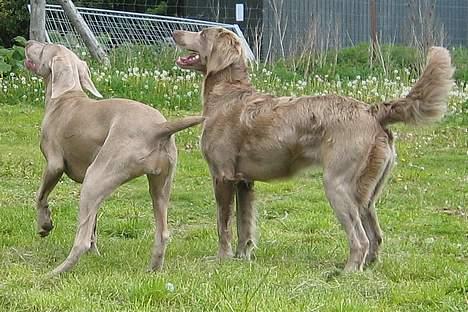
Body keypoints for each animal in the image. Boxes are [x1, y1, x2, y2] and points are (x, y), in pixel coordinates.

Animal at [24, 40, 203, 274]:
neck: (65, 98)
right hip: (160, 184)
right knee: (162, 233)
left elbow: (40, 196)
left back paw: (56, 272)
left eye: (45, 47)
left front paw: (44, 225)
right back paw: (153, 270)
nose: (28, 42)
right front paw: (95, 252)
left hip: (95, 177)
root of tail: (158, 128)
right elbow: (94, 223)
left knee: (80, 241)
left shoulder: (54, 164)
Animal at [172, 27, 454, 270]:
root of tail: (372, 111)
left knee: (360, 238)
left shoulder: (222, 176)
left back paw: (348, 271)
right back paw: (367, 268)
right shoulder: (244, 181)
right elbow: (245, 224)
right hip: (367, 192)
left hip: (337, 184)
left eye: (202, 33)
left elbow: (223, 224)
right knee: (375, 234)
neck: (227, 95)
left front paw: (222, 259)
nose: (175, 32)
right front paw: (242, 257)